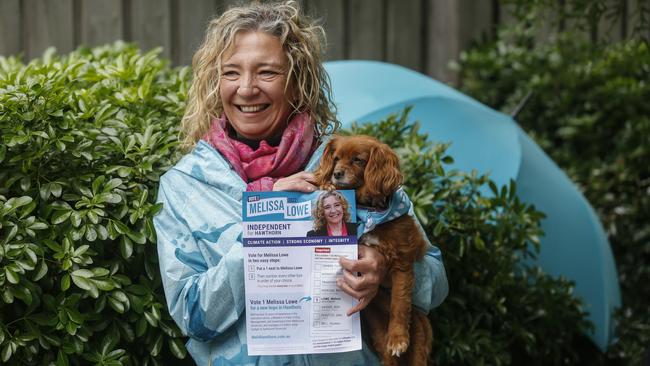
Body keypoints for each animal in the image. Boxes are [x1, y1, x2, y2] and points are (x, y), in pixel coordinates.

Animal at [316, 135, 432, 366]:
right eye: (336, 158)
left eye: (358, 160)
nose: (336, 174)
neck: (370, 212)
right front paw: (325, 183)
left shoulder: (401, 263)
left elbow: (399, 303)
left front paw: (398, 338)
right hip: (379, 336)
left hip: (419, 342)